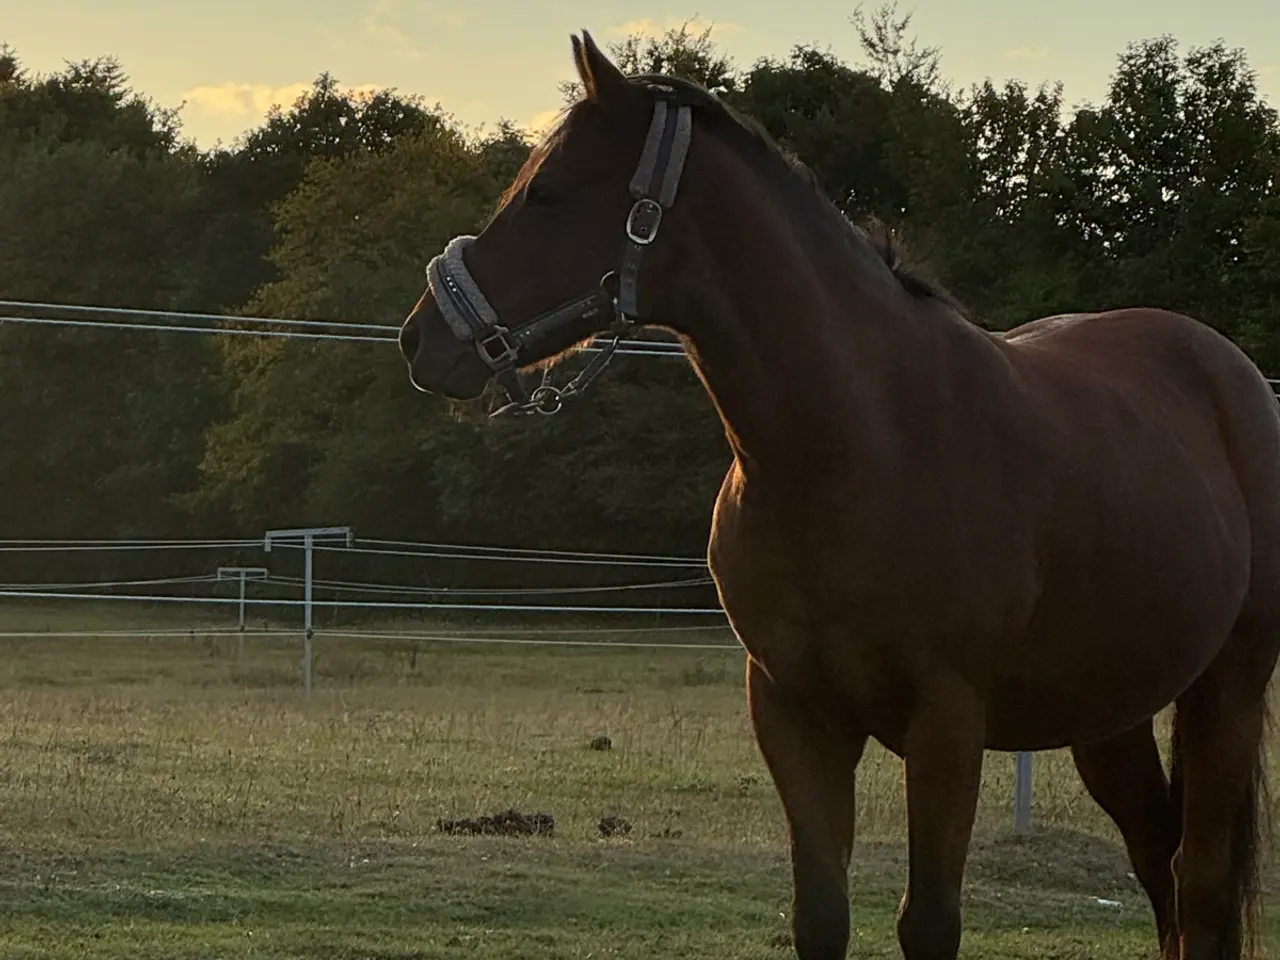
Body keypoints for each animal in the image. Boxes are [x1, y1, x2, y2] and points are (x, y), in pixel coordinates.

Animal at [397, 31, 1280, 960]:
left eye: (549, 192)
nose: (424, 336)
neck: (857, 448)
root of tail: (1231, 374)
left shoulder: (947, 722)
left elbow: (929, 921)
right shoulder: (795, 714)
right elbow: (819, 914)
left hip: (1227, 688)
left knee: (1200, 881)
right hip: (1109, 713)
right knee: (1159, 863)